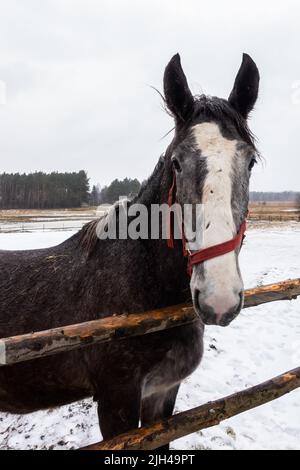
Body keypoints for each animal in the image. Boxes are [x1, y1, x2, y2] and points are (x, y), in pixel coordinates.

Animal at [0, 51, 258, 448]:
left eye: (251, 162)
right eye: (177, 162)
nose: (219, 298)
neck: (142, 286)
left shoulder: (163, 392)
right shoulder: (116, 399)